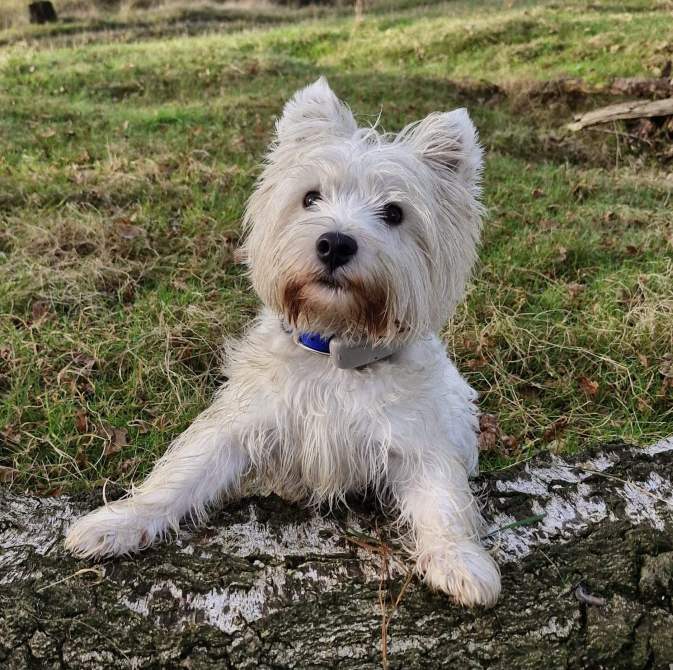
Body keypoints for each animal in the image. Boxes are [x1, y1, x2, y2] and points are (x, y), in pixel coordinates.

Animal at [65, 77, 501, 607]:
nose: (335, 243)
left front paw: (461, 561)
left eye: (395, 213)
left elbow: (443, 501)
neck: (334, 348)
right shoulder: (242, 422)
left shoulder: (418, 441)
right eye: (310, 197)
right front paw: (119, 522)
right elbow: (181, 473)